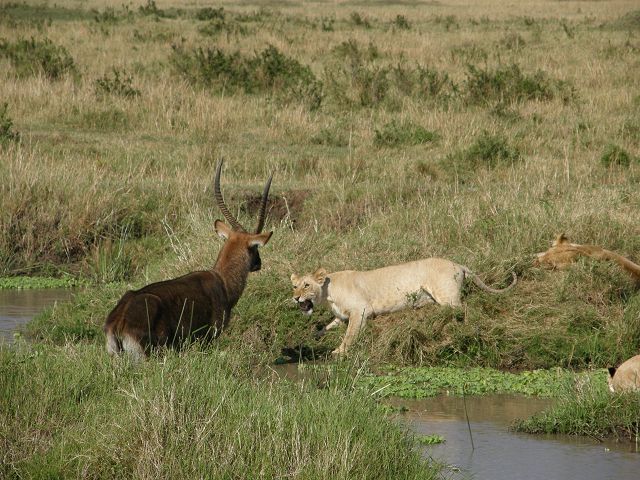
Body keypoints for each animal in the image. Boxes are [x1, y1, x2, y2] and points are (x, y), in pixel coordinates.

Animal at [291, 258, 517, 356]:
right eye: (294, 286)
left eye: (306, 285)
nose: (295, 298)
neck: (328, 294)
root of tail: (458, 264)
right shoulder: (340, 316)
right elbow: (326, 327)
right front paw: (314, 335)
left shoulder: (361, 310)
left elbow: (350, 334)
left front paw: (339, 351)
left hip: (446, 296)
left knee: (461, 308)